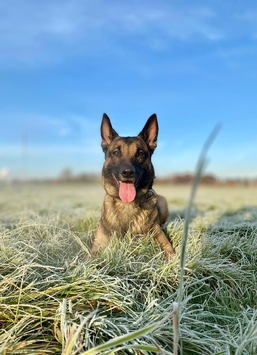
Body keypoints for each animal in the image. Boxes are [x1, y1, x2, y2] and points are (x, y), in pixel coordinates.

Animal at [90, 113, 174, 258]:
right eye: (116, 152)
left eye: (140, 153)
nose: (128, 172)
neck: (127, 204)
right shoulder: (98, 245)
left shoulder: (158, 234)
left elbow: (171, 252)